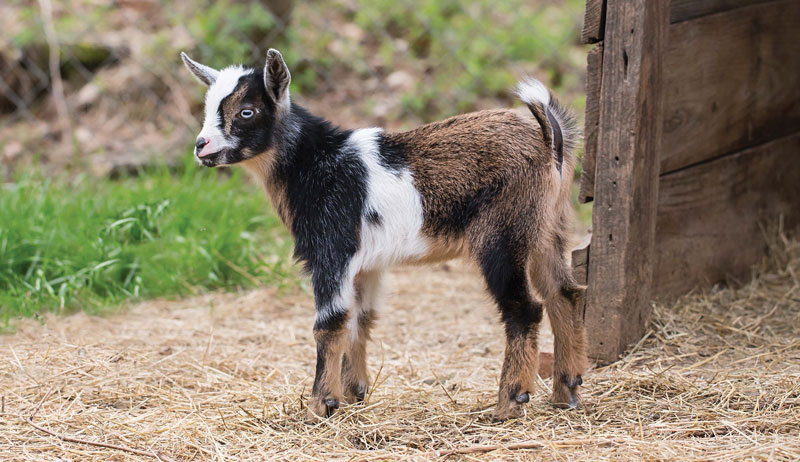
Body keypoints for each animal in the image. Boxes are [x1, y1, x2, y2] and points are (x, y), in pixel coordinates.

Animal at [181, 49, 587, 421]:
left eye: (247, 111)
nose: (201, 146)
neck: (314, 162)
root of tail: (550, 140)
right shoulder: (364, 265)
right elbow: (359, 320)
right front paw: (353, 394)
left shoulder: (332, 247)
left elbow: (329, 323)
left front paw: (320, 406)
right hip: (548, 228)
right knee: (563, 293)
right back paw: (565, 392)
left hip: (502, 235)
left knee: (524, 308)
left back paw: (508, 403)